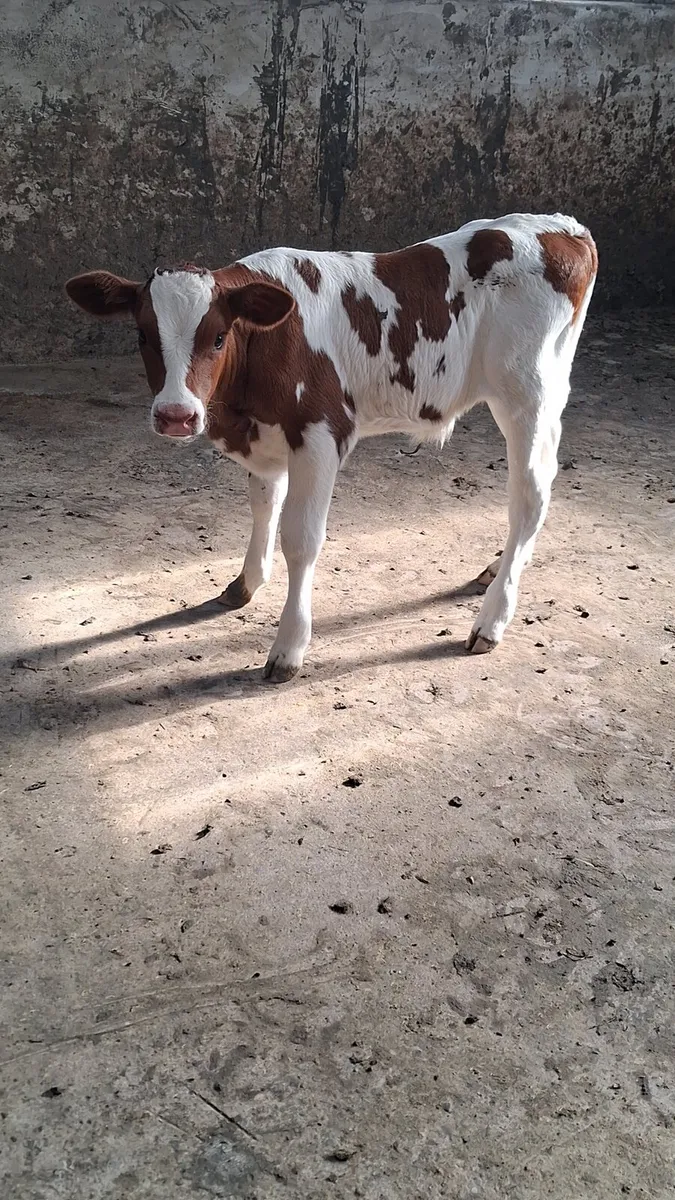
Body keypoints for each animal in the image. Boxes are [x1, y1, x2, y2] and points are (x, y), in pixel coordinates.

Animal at [66, 213, 597, 682]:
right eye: (142, 335)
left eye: (217, 337)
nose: (176, 415)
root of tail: (563, 226)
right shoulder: (266, 438)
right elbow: (263, 506)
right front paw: (246, 583)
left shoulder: (321, 432)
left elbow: (300, 539)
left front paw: (288, 648)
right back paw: (493, 570)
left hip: (526, 395)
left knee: (529, 499)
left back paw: (491, 620)